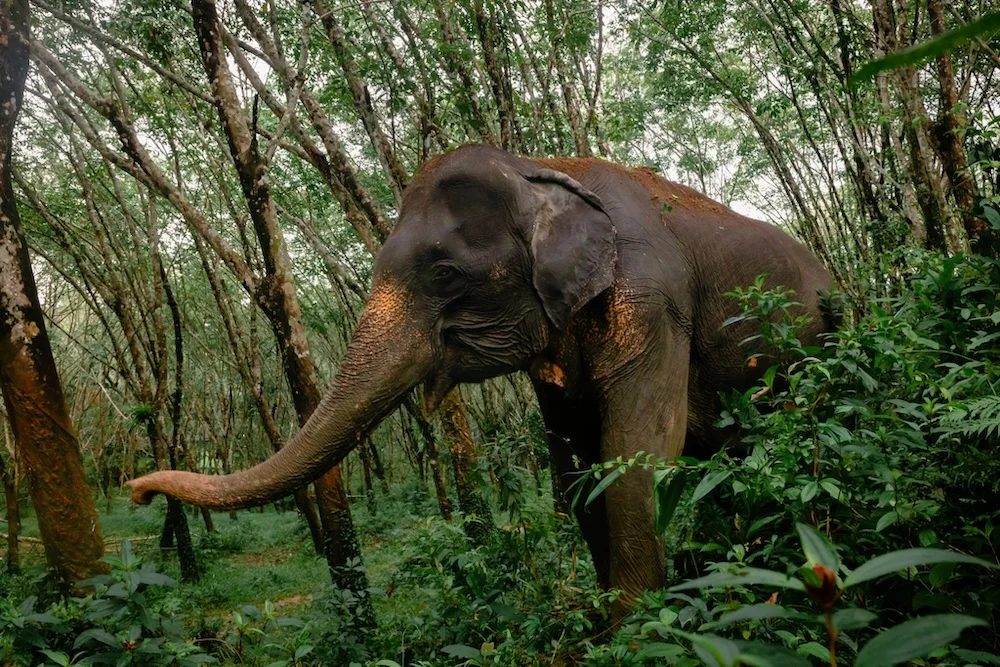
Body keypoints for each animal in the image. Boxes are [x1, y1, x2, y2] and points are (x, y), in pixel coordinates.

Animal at [128, 144, 834, 615]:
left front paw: (640, 632)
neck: (539, 167)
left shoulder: (654, 301)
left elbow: (635, 455)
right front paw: (609, 627)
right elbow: (574, 468)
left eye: (444, 275)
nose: (133, 490)